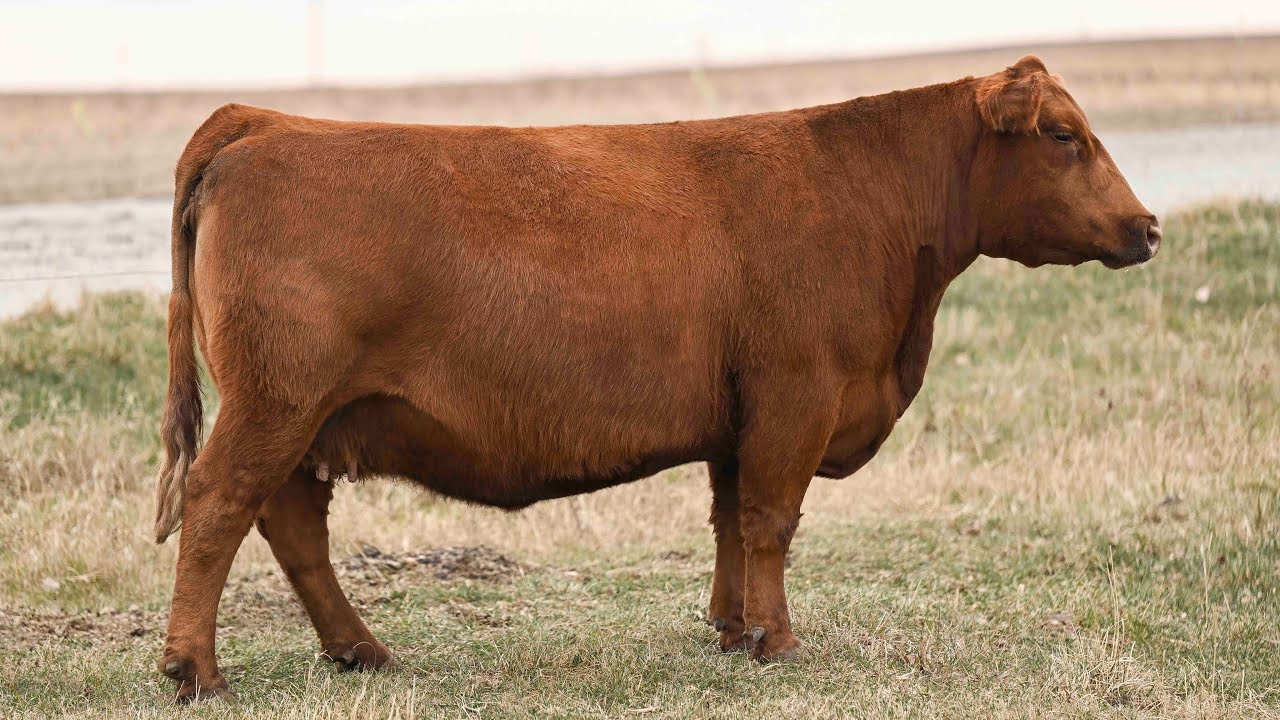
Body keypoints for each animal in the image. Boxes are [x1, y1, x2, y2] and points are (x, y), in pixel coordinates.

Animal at [153, 56, 1159, 700]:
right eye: (1065, 135)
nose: (1148, 227)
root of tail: (264, 123)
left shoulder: (740, 416)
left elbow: (730, 520)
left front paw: (730, 627)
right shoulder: (797, 396)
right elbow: (771, 520)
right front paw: (777, 642)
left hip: (307, 419)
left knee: (290, 526)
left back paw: (359, 651)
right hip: (276, 405)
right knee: (217, 507)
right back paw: (194, 670)